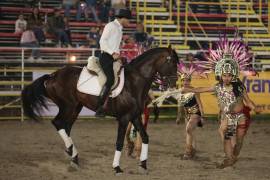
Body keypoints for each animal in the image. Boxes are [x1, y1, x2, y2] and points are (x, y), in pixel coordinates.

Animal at [21, 46, 179, 174]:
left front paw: (143, 165)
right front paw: (117, 167)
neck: (134, 83)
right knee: (58, 123)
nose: (173, 83)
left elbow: (145, 137)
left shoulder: (135, 116)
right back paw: (73, 154)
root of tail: (52, 75)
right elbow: (119, 142)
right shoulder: (124, 118)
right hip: (67, 106)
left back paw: (73, 156)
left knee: (66, 127)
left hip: (75, 108)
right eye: (171, 62)